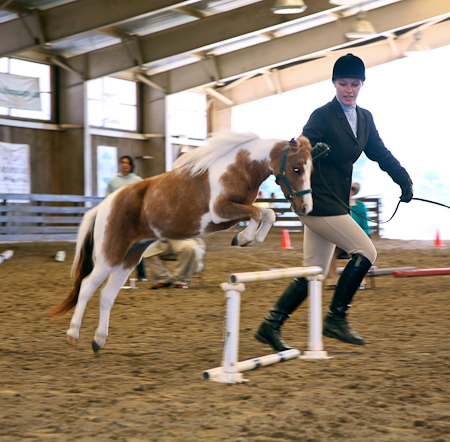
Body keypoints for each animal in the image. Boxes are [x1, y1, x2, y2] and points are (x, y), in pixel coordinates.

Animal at [47, 131, 312, 352]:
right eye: (296, 169)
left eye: (309, 169)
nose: (306, 208)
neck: (238, 168)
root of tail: (104, 205)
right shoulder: (221, 212)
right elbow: (259, 213)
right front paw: (244, 238)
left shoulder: (233, 213)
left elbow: (267, 214)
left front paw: (249, 239)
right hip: (110, 257)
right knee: (87, 287)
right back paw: (73, 334)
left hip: (130, 257)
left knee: (107, 295)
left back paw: (98, 341)